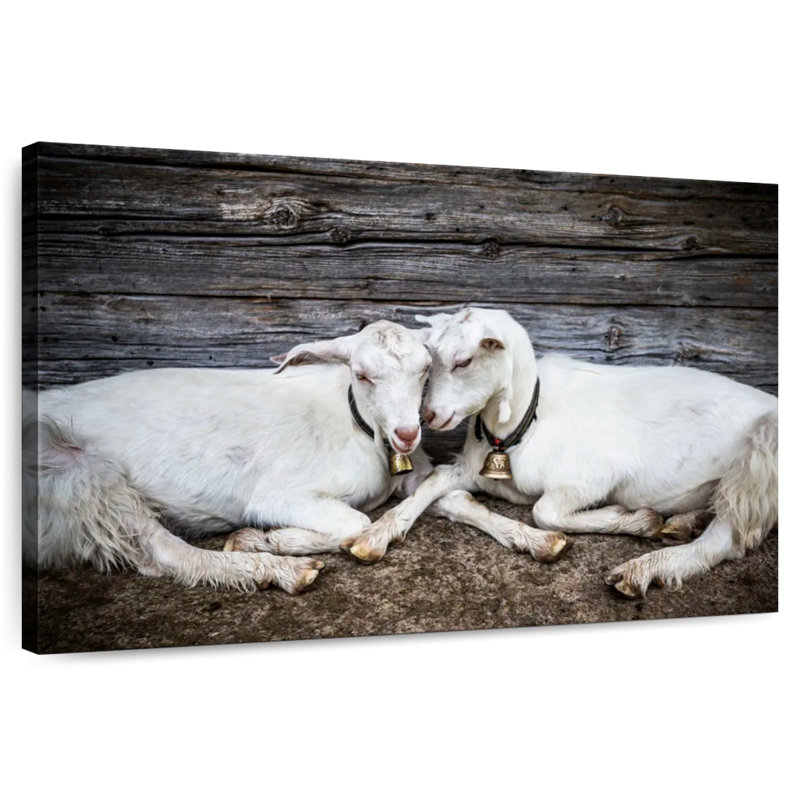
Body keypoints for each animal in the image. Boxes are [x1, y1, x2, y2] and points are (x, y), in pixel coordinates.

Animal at [25, 321, 433, 593]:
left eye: (426, 369)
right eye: (362, 375)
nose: (407, 433)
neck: (358, 426)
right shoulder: (279, 495)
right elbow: (355, 521)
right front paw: (276, 539)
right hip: (78, 470)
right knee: (169, 552)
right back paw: (279, 569)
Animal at [342, 307, 778, 598]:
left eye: (464, 360)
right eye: (430, 359)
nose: (429, 416)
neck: (524, 421)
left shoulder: (593, 478)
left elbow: (545, 512)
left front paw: (631, 518)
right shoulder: (473, 469)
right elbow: (432, 485)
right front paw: (378, 534)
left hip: (759, 459)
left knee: (726, 540)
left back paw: (645, 568)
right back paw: (685, 521)